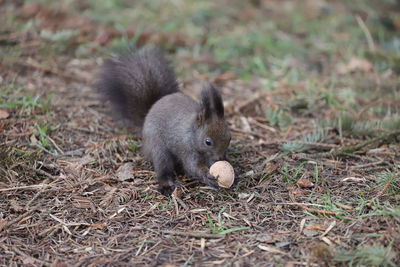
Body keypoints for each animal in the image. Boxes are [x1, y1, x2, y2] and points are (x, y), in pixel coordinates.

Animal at [96, 47, 231, 196]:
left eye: (229, 137)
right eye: (208, 142)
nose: (221, 158)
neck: (192, 132)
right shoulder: (187, 149)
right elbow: (192, 167)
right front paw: (208, 176)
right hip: (158, 148)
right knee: (163, 168)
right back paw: (166, 185)